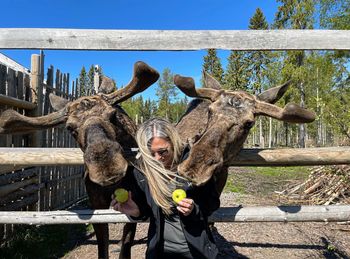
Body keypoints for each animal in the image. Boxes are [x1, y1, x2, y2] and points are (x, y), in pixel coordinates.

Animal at [0, 61, 160, 259]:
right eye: (70, 128)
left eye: (113, 115)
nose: (106, 166)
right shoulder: (96, 205)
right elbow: (102, 248)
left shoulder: (136, 200)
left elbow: (126, 246)